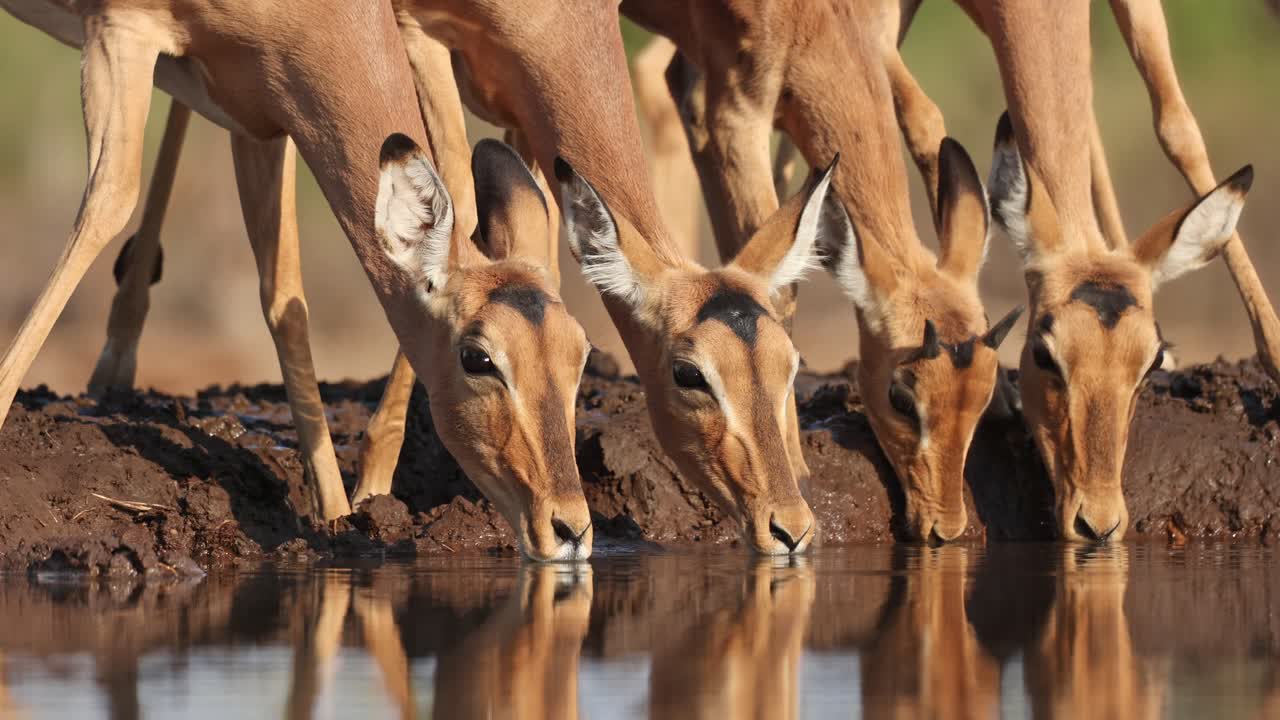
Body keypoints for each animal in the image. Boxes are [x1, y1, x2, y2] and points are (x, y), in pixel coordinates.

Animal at [623, 1, 1023, 541]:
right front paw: (796, 471)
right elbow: (775, 281)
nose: (947, 527)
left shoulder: (880, 45)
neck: (814, 18)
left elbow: (927, 124)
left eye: (979, 399)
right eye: (901, 397)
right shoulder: (735, 112)